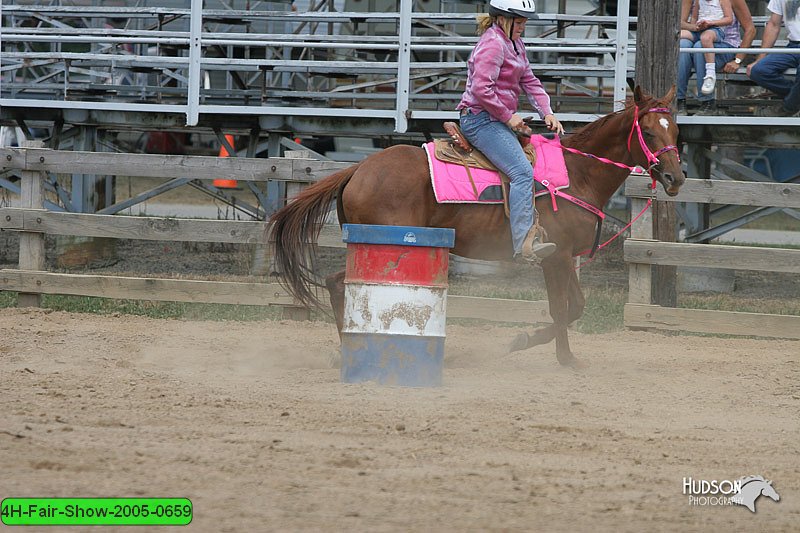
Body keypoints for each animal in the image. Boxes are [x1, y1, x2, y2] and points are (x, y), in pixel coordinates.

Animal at [268, 88, 680, 370]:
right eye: (647, 131)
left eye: (674, 129)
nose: (676, 177)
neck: (576, 174)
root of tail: (358, 169)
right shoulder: (555, 257)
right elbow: (561, 310)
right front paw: (562, 358)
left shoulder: (564, 258)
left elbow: (575, 307)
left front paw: (523, 341)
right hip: (385, 245)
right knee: (340, 282)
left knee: (337, 283)